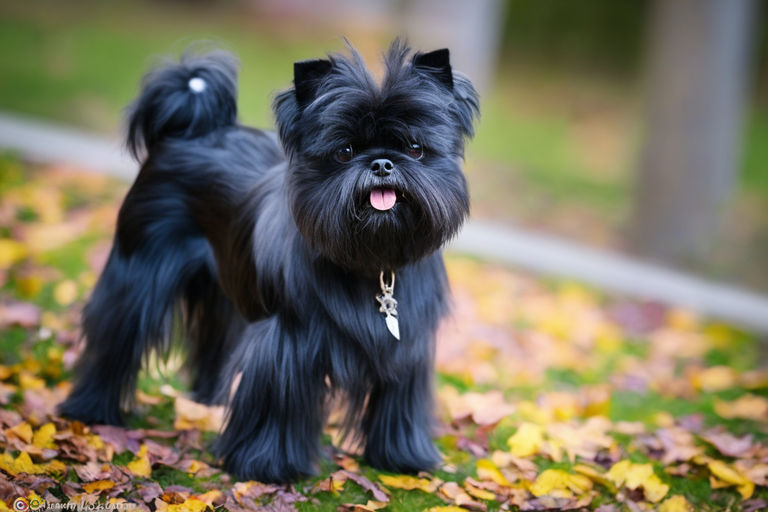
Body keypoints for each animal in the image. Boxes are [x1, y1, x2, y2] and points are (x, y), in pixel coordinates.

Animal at [60, 41, 476, 484]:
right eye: (344, 151)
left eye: (415, 148)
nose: (382, 163)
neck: (373, 260)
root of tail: (188, 133)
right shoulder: (288, 345)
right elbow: (277, 402)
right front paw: (267, 465)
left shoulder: (407, 348)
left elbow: (401, 402)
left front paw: (403, 456)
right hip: (138, 276)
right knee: (116, 335)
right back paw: (92, 409)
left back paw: (208, 402)